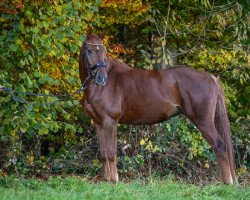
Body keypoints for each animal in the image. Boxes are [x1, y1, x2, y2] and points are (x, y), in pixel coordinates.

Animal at [79, 34, 236, 183]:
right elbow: (103, 154)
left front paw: (113, 181)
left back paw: (227, 183)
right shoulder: (99, 123)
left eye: (103, 51)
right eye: (90, 50)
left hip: (204, 122)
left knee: (220, 146)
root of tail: (210, 77)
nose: (102, 78)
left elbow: (111, 153)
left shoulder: (110, 122)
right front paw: (106, 180)